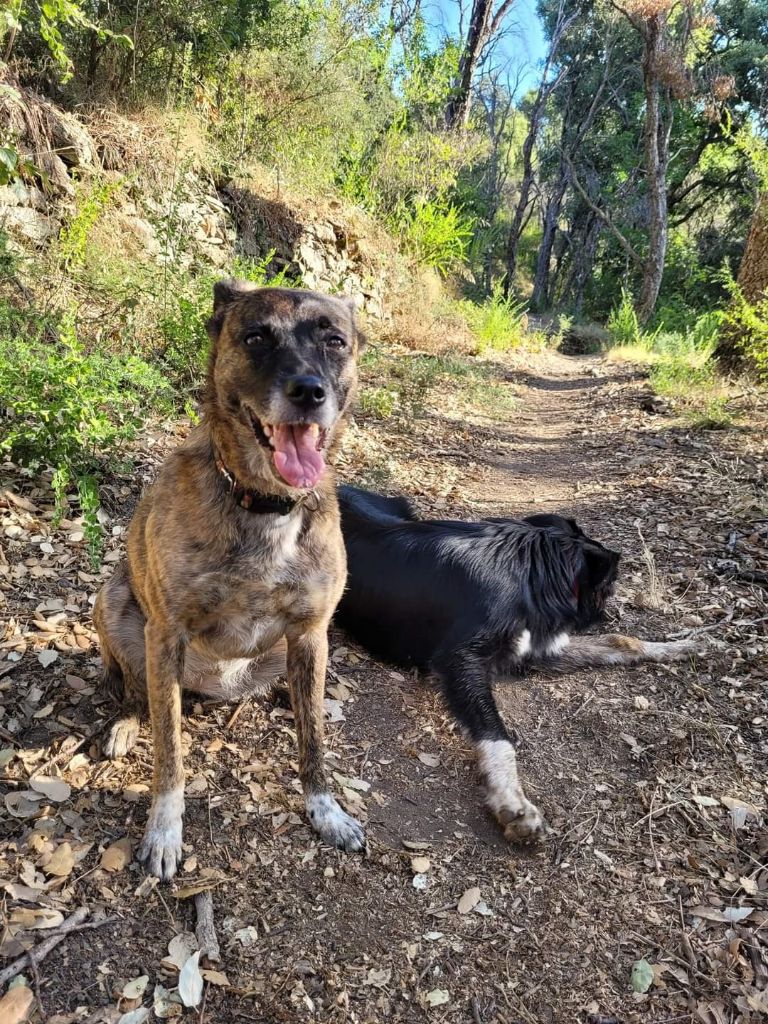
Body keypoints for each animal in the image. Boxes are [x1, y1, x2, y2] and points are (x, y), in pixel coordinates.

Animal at [93, 282, 370, 880]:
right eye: (257, 337)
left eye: (335, 341)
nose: (308, 391)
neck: (265, 504)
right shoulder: (166, 633)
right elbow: (170, 751)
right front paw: (165, 831)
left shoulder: (311, 630)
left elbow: (313, 742)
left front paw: (325, 810)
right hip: (115, 604)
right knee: (132, 687)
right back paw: (127, 722)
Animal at [335, 483, 696, 843]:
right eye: (610, 586)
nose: (613, 613)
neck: (528, 573)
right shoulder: (459, 660)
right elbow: (496, 733)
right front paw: (511, 798)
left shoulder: (533, 650)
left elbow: (618, 641)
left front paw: (682, 647)